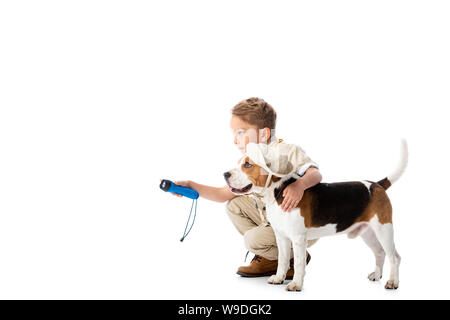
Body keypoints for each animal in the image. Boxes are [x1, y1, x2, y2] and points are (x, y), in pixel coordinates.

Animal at [224, 141, 408, 292]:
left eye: (247, 164)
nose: (225, 174)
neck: (277, 191)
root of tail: (376, 185)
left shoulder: (298, 238)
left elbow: (299, 263)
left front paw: (296, 284)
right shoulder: (281, 237)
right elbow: (282, 260)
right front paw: (279, 278)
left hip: (384, 229)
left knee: (395, 257)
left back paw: (393, 282)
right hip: (368, 232)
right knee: (380, 253)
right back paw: (377, 275)